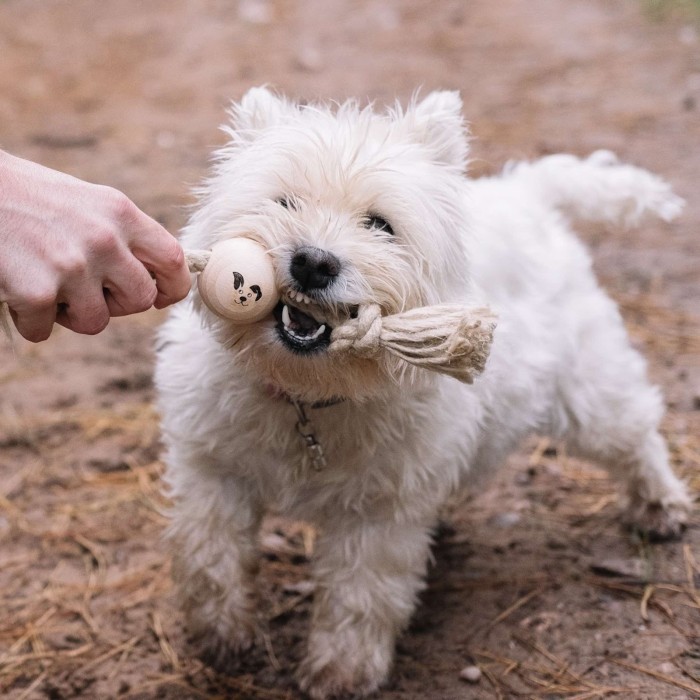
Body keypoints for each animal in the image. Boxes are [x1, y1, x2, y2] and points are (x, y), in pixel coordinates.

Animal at [156, 90, 692, 696]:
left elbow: (360, 596)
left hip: (587, 387)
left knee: (635, 432)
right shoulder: (212, 469)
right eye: (285, 201)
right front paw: (222, 637)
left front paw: (340, 672)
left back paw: (660, 506)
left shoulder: (381, 512)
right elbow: (209, 556)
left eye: (380, 224)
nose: (314, 262)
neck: (308, 394)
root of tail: (529, 193)